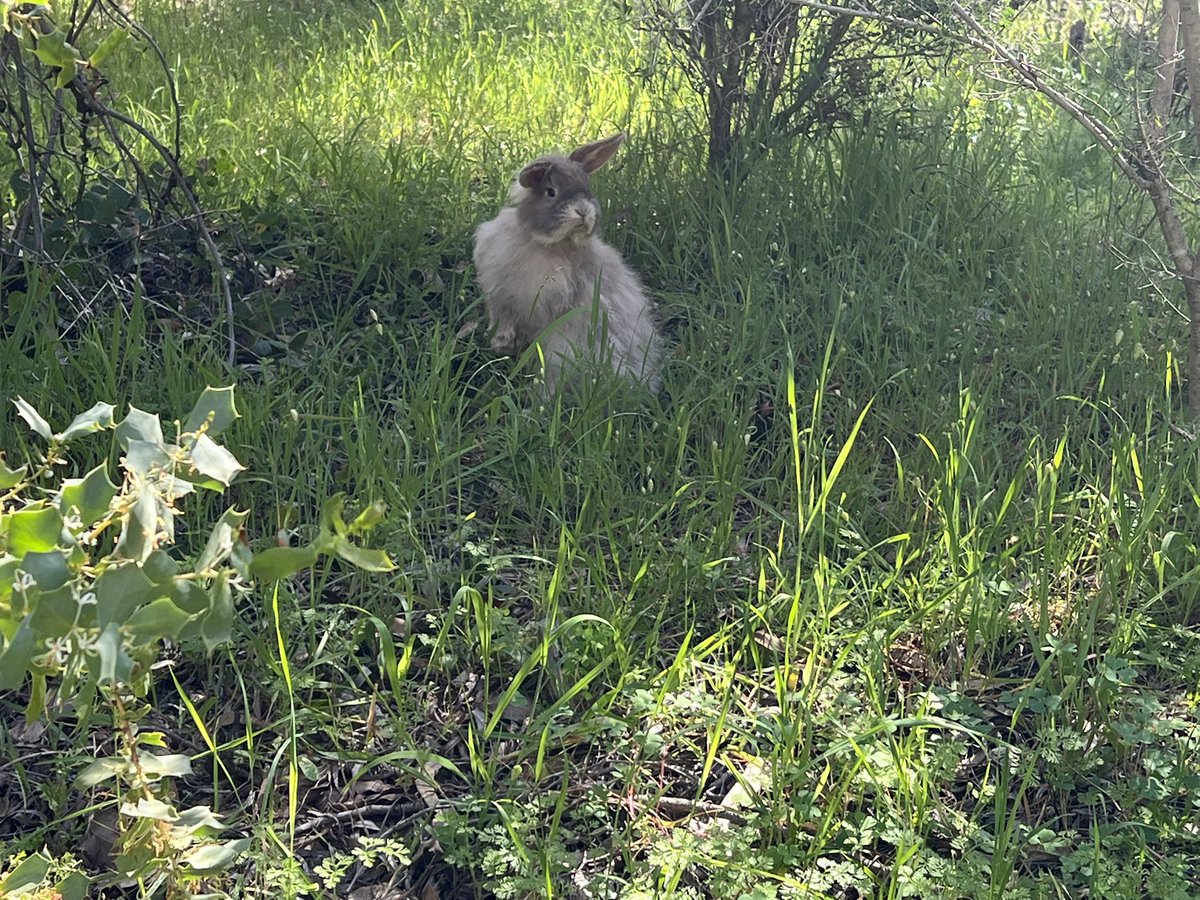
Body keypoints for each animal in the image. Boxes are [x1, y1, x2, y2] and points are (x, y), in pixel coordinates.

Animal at [473, 133, 662, 394]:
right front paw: (501, 343)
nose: (583, 212)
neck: (547, 244)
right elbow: (503, 317)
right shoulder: (500, 295)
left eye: (587, 188)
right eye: (551, 192)